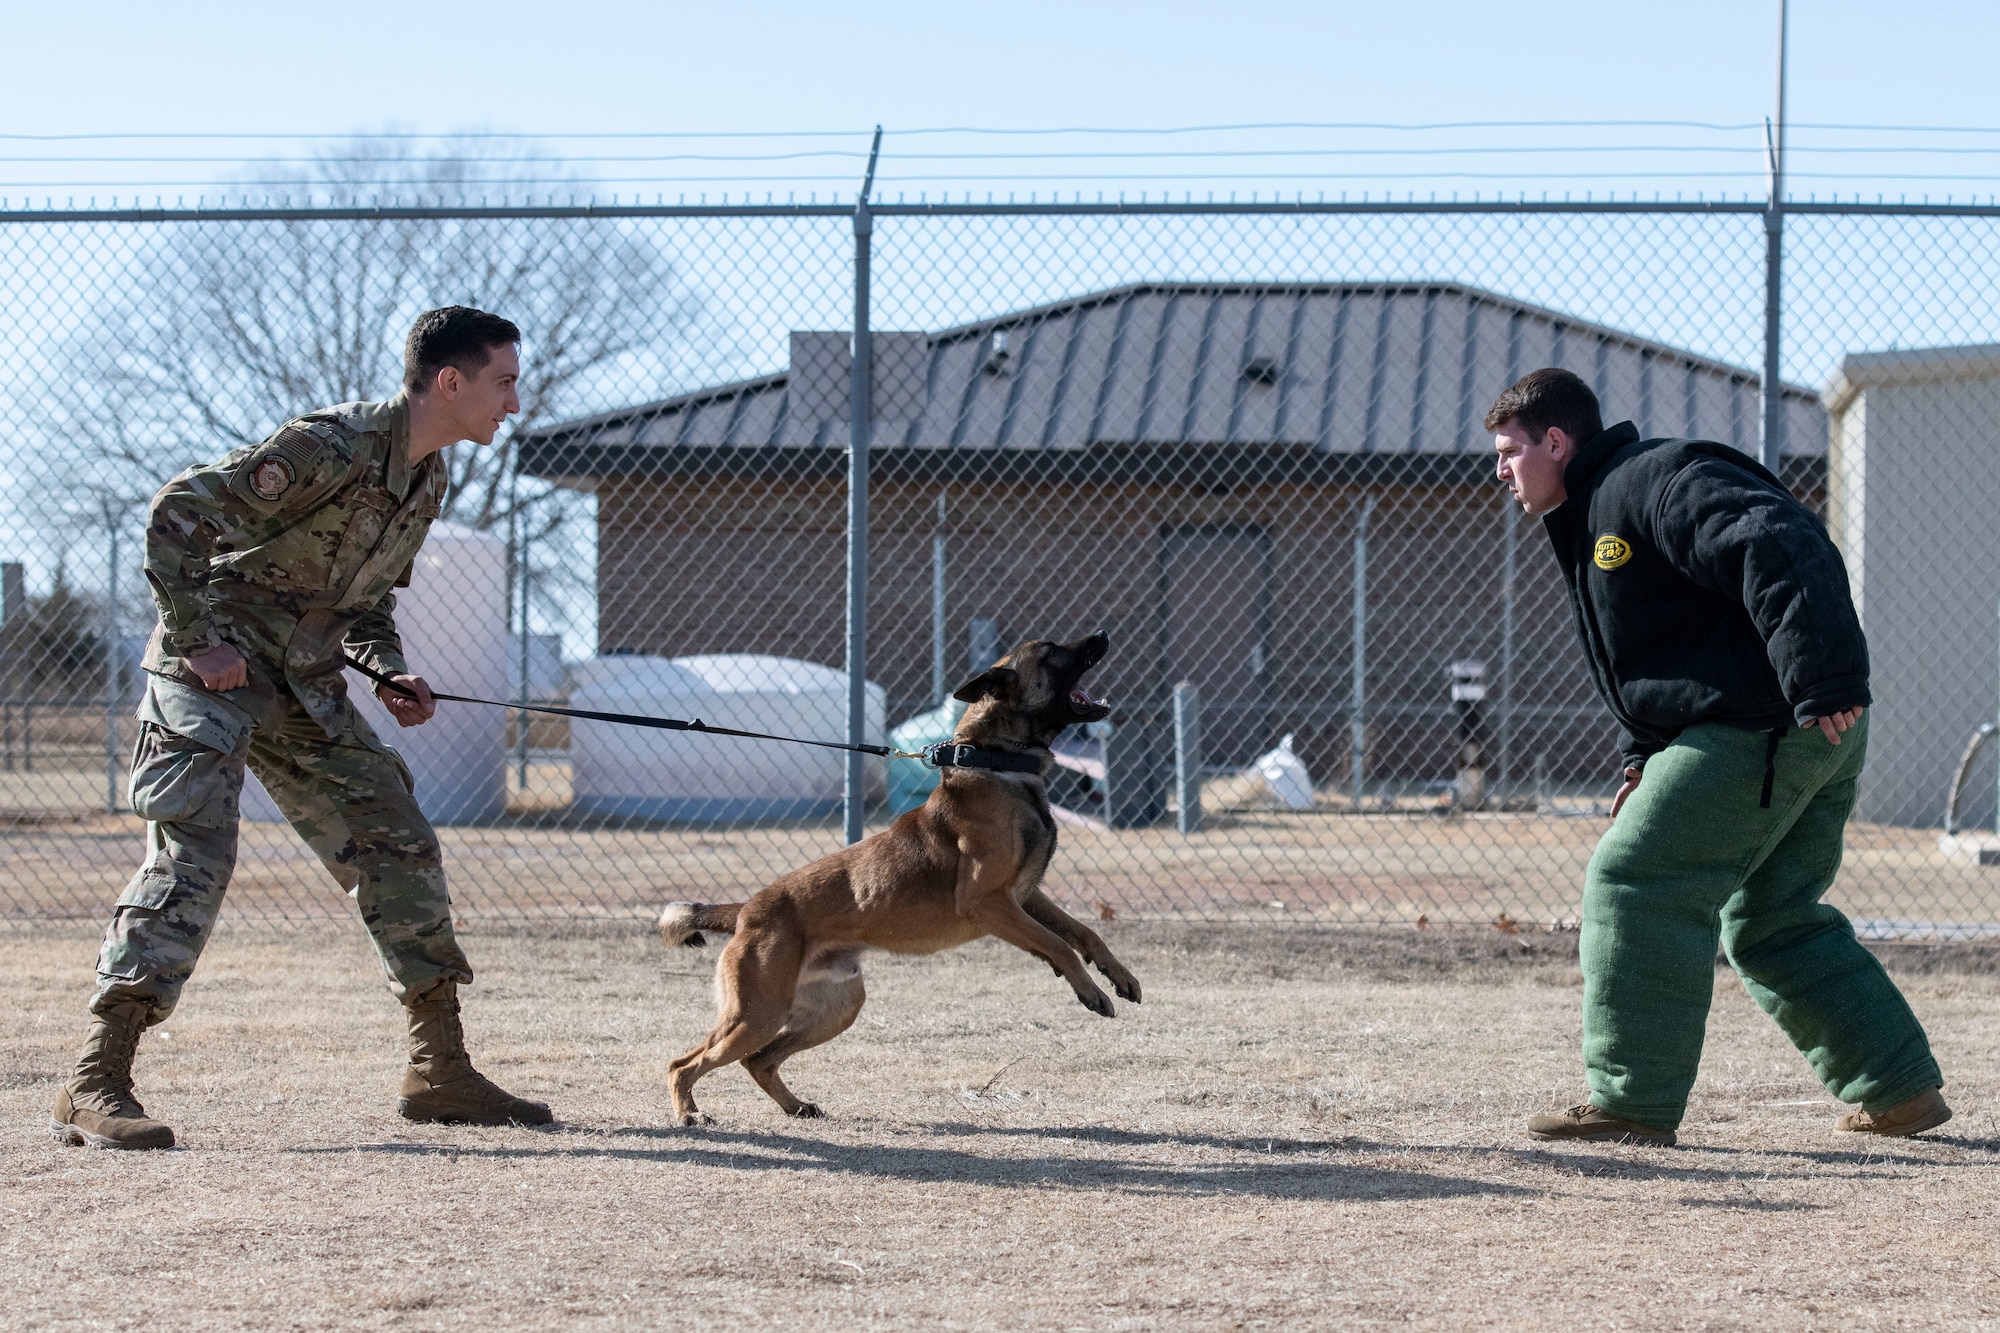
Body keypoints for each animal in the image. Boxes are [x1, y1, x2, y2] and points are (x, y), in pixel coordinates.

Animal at [656, 628, 1144, 1112]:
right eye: (1051, 651)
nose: (1102, 633)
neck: (996, 764)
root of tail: (746, 911)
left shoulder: (1024, 897)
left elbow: (1082, 932)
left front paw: (1119, 975)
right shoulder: (988, 903)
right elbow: (1058, 944)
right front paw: (1091, 991)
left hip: (835, 1009)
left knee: (758, 1060)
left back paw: (795, 1106)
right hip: (759, 1012)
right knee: (684, 1062)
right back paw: (689, 1113)